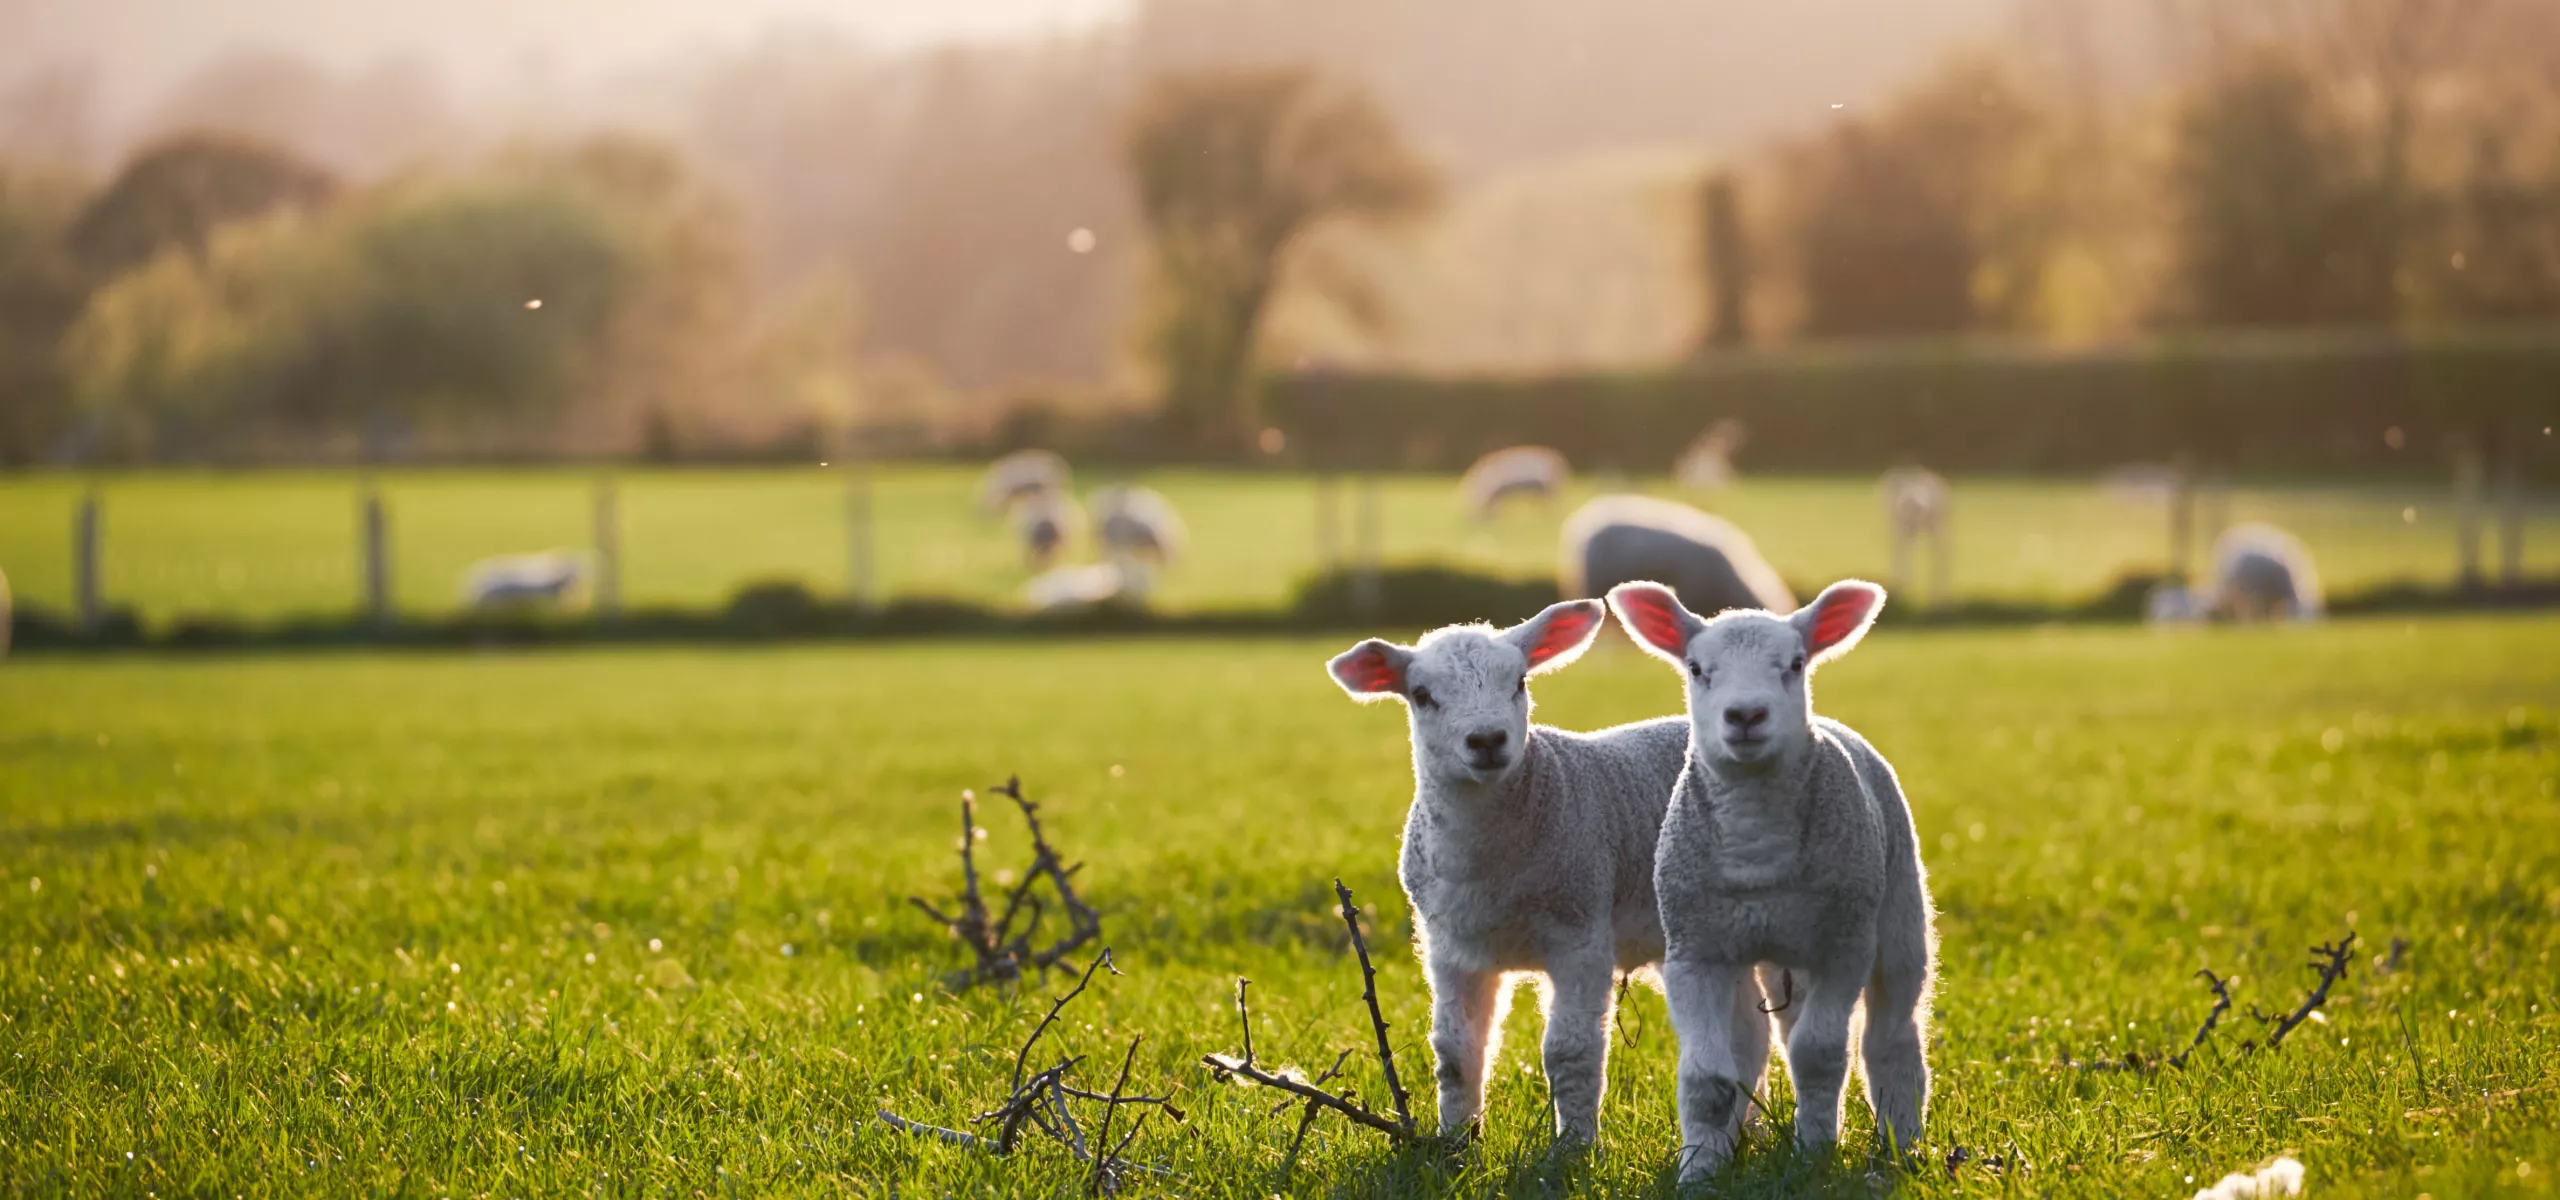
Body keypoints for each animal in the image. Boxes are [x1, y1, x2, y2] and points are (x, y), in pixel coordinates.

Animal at [1326, 601, 1770, 1146]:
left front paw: (1573, 1150)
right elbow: (1454, 1053)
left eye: (1519, 681)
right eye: (1422, 695)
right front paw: (1455, 1142)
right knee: (1750, 1030)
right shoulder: (1450, 949)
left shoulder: (1580, 932)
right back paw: (1749, 1130)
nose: (1487, 740)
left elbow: (1570, 1053)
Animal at [1606, 578, 1936, 1180]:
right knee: (1757, 1039)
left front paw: (1813, 1159)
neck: (1757, 851)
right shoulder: (1695, 952)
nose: (1745, 715)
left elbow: (1819, 1056)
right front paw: (1699, 1172)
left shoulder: (1844, 946)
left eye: (1796, 663)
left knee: (1891, 1038)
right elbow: (1707, 1076)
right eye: (1696, 668)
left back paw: (1903, 1144)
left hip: (1897, 913)